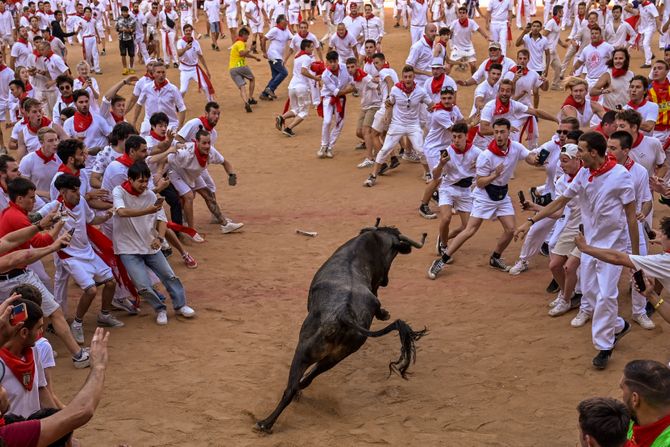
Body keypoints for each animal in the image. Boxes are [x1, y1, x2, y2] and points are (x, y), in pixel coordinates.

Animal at [255, 224, 428, 434]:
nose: (386, 280)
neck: (369, 244)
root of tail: (345, 314)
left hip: (304, 351)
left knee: (291, 388)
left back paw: (266, 423)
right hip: (336, 357)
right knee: (307, 380)